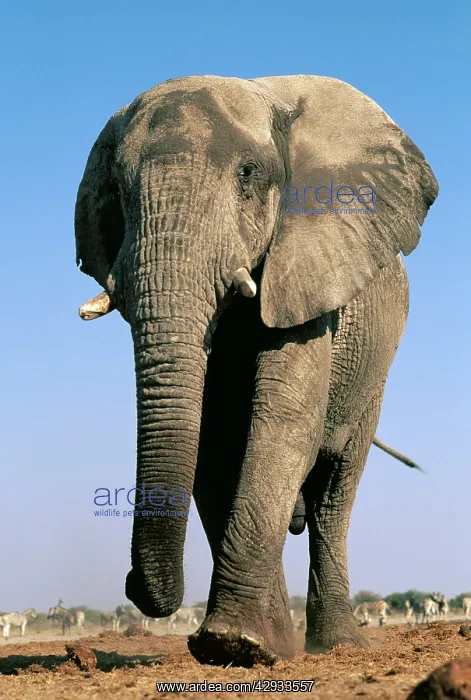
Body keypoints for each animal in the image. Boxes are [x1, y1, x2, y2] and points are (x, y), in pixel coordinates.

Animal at [74, 74, 438, 667]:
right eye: (120, 195)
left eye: (248, 175)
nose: (130, 584)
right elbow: (215, 440)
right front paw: (250, 646)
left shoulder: (309, 271)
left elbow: (285, 420)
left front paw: (233, 642)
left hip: (373, 374)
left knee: (335, 492)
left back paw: (338, 643)